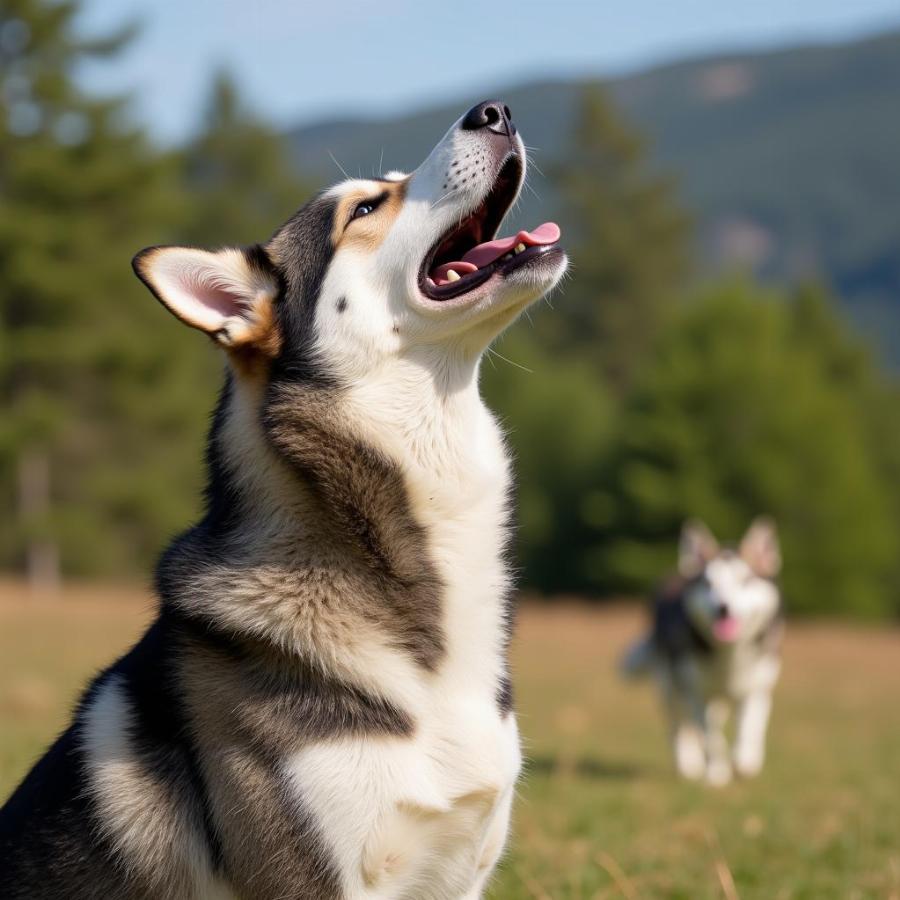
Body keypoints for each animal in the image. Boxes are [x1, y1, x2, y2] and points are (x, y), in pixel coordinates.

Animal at [624, 516, 784, 784]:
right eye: (709, 583)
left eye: (745, 580)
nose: (723, 608)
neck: (729, 656)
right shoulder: (696, 692)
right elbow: (709, 738)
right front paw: (716, 776)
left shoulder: (758, 688)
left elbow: (749, 728)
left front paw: (744, 762)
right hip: (669, 687)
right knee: (680, 729)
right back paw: (689, 765)